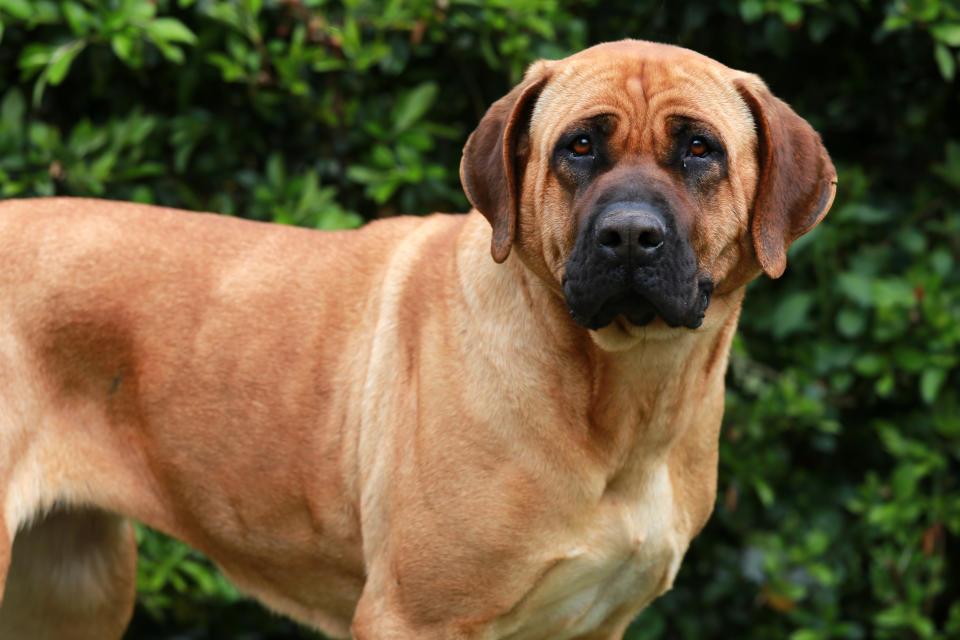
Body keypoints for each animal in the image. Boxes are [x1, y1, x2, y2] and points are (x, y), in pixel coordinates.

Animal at [0, 41, 832, 640]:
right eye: (578, 147)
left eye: (699, 148)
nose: (629, 235)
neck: (620, 403)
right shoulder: (413, 615)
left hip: (71, 590)